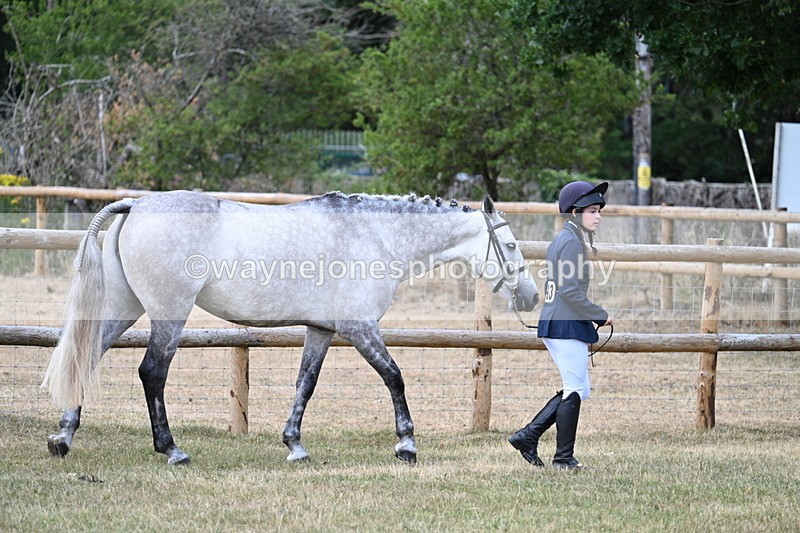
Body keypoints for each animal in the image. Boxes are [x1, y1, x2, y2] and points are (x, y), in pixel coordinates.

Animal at [42, 191, 539, 465]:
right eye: (512, 245)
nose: (532, 297)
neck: (375, 234)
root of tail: (135, 205)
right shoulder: (359, 328)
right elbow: (394, 377)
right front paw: (407, 445)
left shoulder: (320, 330)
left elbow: (306, 384)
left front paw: (294, 446)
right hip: (169, 313)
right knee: (152, 373)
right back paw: (172, 450)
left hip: (123, 309)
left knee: (87, 357)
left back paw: (63, 438)